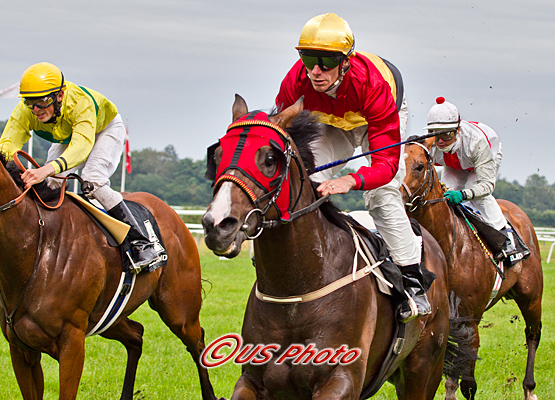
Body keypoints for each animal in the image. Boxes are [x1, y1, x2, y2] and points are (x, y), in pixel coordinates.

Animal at [0, 152, 222, 396]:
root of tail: (171, 213)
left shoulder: (71, 344)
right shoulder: (21, 349)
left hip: (178, 310)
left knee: (197, 342)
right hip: (108, 316)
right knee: (136, 336)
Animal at [202, 95, 454, 398]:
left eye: (270, 159)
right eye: (218, 155)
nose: (217, 224)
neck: (295, 288)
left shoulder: (341, 379)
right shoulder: (252, 379)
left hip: (424, 365)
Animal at [402, 138, 544, 400]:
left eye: (418, 166)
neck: (450, 246)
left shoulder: (471, 321)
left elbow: (468, 384)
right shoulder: (447, 319)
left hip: (531, 296)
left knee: (532, 334)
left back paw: (529, 388)